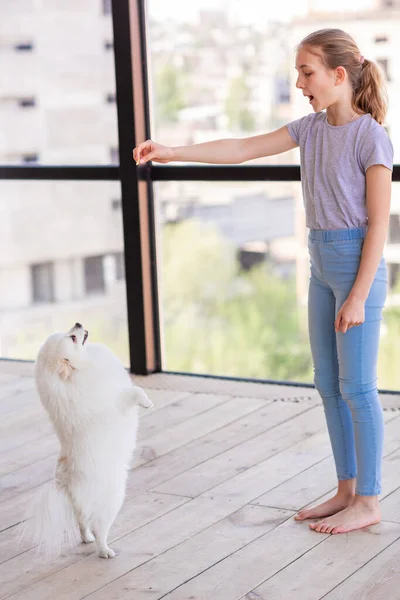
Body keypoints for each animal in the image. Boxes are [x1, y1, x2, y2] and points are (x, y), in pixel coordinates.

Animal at [27, 324, 153, 556]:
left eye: (70, 331)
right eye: (73, 338)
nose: (78, 323)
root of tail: (65, 478)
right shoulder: (119, 402)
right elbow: (134, 391)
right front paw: (146, 402)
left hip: (84, 506)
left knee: (82, 522)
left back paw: (87, 538)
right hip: (112, 499)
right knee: (99, 527)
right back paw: (105, 551)